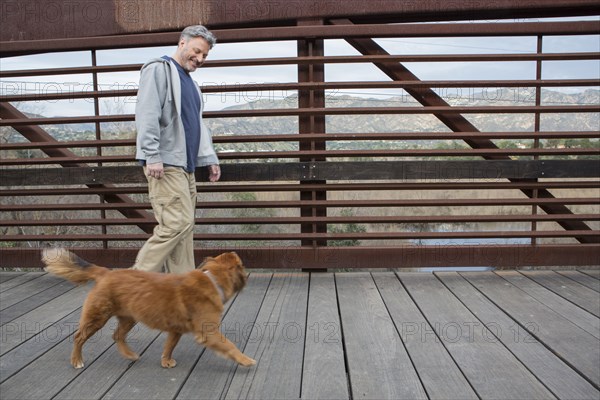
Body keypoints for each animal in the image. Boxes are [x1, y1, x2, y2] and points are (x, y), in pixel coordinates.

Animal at [39, 250, 255, 368]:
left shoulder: (175, 330)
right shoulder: (209, 332)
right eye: (243, 266)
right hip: (97, 317)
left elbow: (169, 347)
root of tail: (106, 273)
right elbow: (230, 346)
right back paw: (77, 360)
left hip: (129, 318)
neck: (212, 279)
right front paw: (245, 360)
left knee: (117, 335)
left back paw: (129, 355)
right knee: (79, 337)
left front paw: (165, 361)